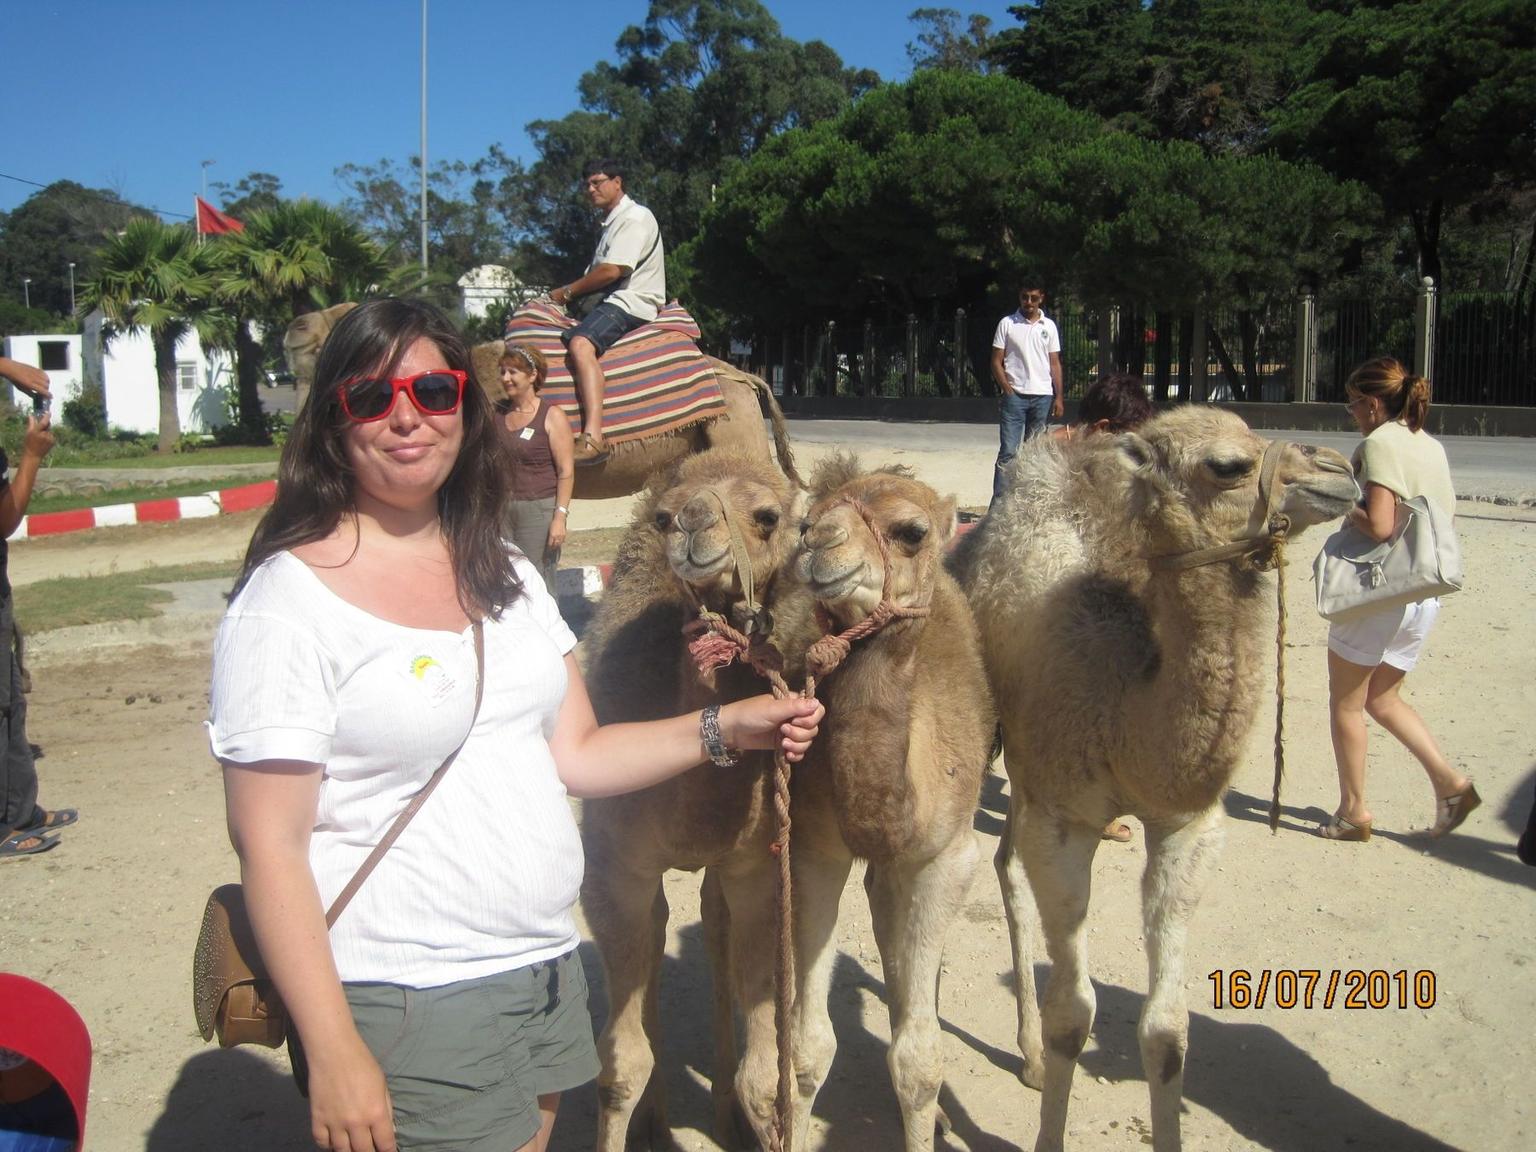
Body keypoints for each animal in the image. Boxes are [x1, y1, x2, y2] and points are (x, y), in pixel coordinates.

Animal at [577, 448, 823, 1152]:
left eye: (768, 517)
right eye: (662, 518)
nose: (690, 523)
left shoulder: (757, 869)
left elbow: (766, 1078)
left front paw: (751, 1111)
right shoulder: (615, 868)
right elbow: (620, 1068)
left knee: (710, 928)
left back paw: (718, 1118)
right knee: (661, 930)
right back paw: (660, 1124)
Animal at [786, 454, 989, 1148]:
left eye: (911, 532)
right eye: (808, 519)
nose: (819, 542)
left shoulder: (946, 858)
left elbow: (920, 1063)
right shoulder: (813, 851)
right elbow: (808, 1049)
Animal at [958, 411, 1357, 1148]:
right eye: (1228, 465)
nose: (1339, 470)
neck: (1131, 703)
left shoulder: (1185, 824)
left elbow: (1167, 1032)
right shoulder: (1068, 819)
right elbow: (1073, 1015)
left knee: (1005, 858)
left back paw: (1027, 1055)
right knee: (998, 863)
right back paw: (1026, 1053)